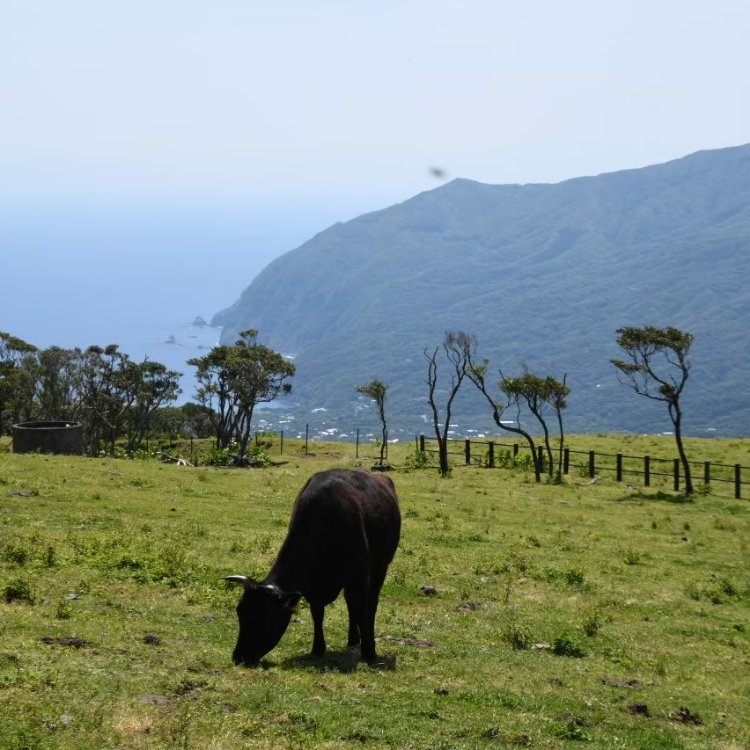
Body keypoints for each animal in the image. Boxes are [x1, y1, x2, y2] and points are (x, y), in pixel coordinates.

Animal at [226, 468, 402, 668]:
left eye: (263, 616)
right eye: (240, 611)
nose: (238, 656)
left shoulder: (360, 575)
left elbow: (361, 609)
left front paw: (369, 653)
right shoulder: (313, 587)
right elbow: (318, 613)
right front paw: (318, 648)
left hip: (380, 567)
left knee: (370, 604)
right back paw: (352, 640)